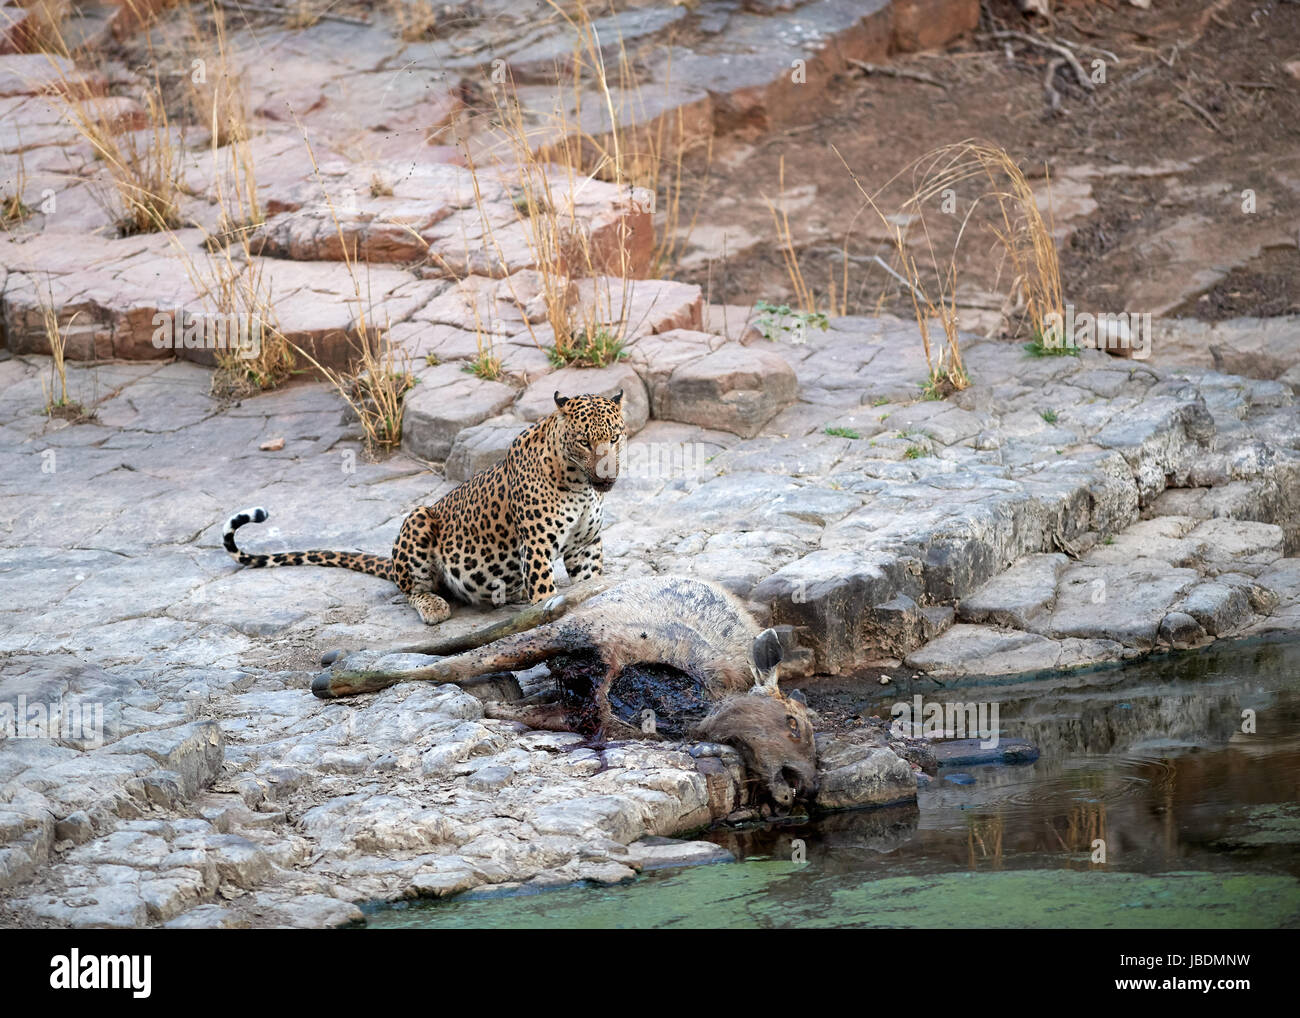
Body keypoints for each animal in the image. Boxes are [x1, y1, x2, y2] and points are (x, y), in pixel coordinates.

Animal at [220, 395, 626, 624]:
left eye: (616, 437)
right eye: (584, 441)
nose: (607, 475)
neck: (581, 485)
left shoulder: (585, 545)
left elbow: (591, 584)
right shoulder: (539, 547)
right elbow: (544, 593)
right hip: (417, 519)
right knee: (411, 587)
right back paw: (433, 607)